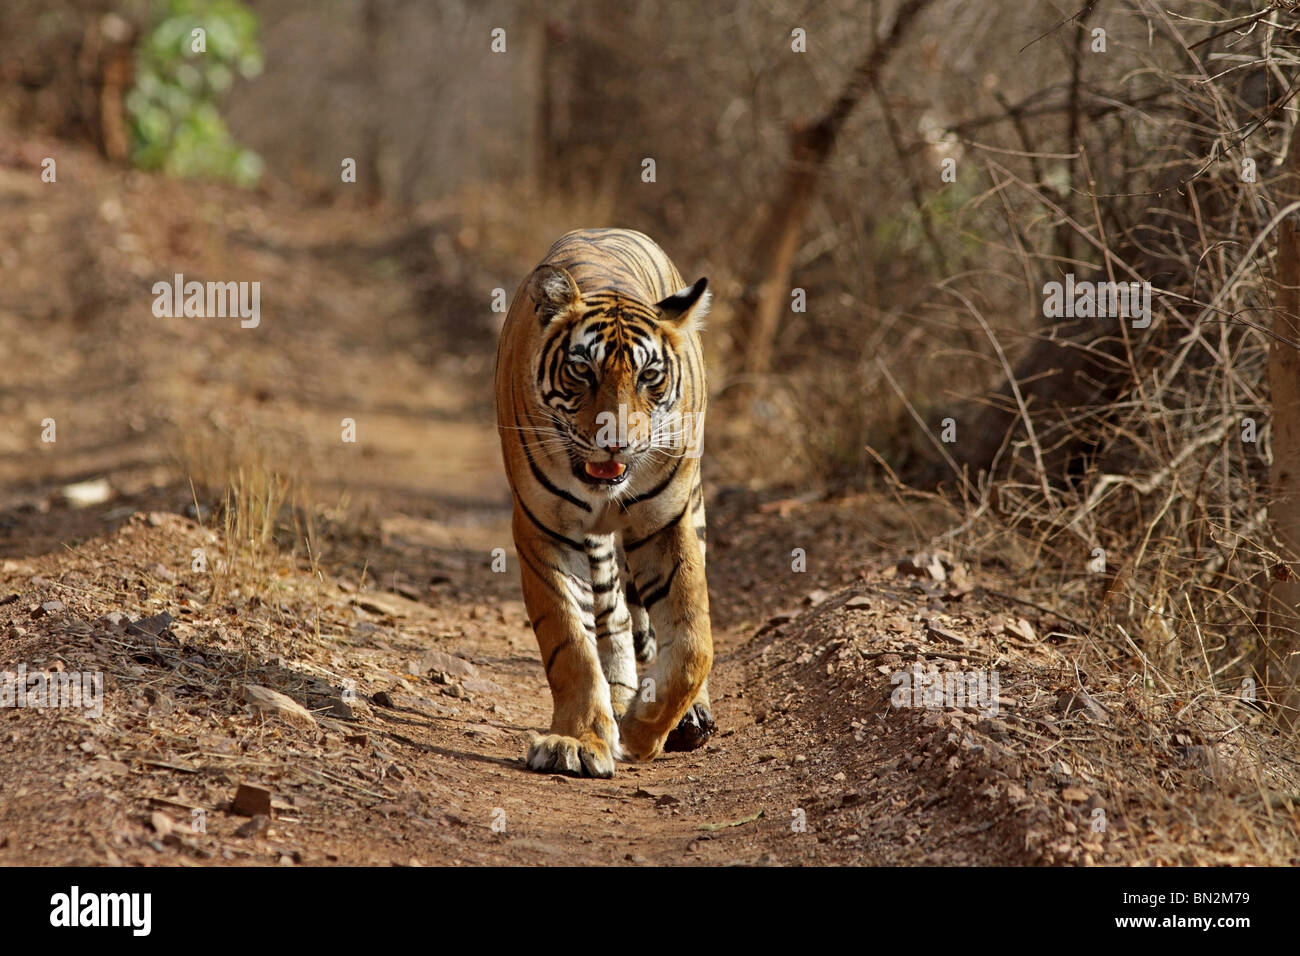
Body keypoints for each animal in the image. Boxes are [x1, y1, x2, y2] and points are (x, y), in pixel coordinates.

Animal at [493, 230, 717, 780]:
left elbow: (693, 642)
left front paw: (643, 731)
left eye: (649, 376)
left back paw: (688, 718)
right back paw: (617, 699)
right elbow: (570, 643)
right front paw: (577, 740)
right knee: (612, 614)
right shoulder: (543, 529)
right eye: (582, 370)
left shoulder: (666, 524)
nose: (615, 442)